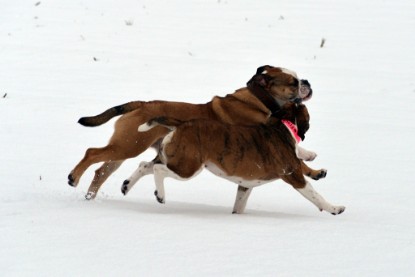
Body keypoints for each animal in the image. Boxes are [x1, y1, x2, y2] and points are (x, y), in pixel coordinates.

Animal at [68, 64, 316, 198]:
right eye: (293, 82)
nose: (307, 81)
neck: (260, 99)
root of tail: (141, 104)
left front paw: (311, 158)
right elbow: (296, 157)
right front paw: (311, 166)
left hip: (125, 147)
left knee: (101, 171)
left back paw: (90, 195)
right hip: (128, 145)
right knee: (92, 153)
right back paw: (74, 178)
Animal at [132, 102, 346, 215]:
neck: (282, 126)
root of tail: (181, 124)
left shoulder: (246, 185)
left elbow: (239, 204)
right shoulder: (294, 176)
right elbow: (316, 196)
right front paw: (334, 208)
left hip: (174, 159)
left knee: (145, 165)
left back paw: (127, 185)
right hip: (187, 167)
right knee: (158, 170)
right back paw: (160, 195)